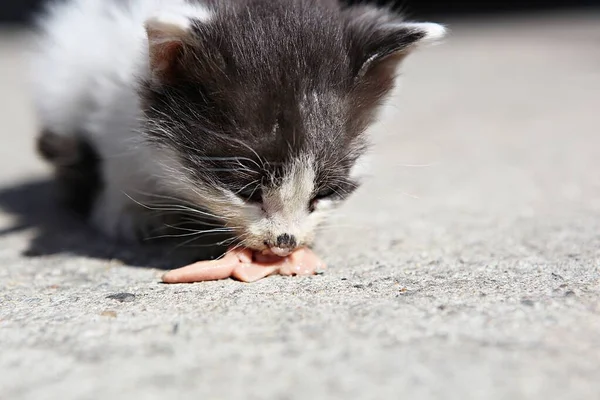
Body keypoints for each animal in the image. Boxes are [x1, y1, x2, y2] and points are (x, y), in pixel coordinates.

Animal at [29, 0, 446, 256]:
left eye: (325, 191)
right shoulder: (108, 86)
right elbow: (116, 152)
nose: (285, 241)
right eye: (245, 190)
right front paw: (126, 214)